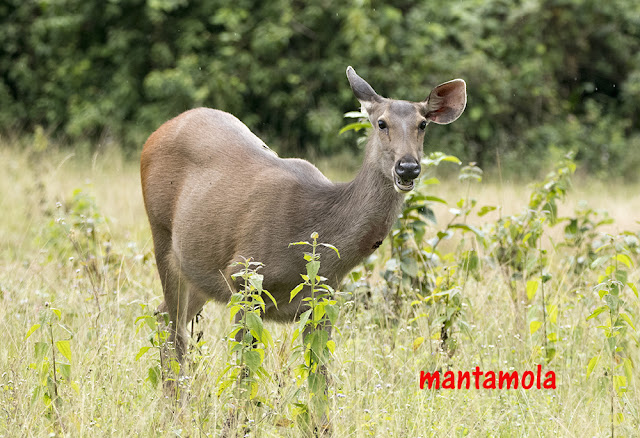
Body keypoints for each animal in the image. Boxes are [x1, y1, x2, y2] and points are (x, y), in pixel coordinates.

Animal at [140, 66, 464, 372]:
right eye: (382, 123)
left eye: (423, 124)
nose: (408, 167)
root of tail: (156, 133)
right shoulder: (244, 278)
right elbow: (244, 370)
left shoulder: (323, 298)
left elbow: (319, 373)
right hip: (161, 233)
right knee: (174, 331)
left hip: (198, 269)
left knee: (162, 316)